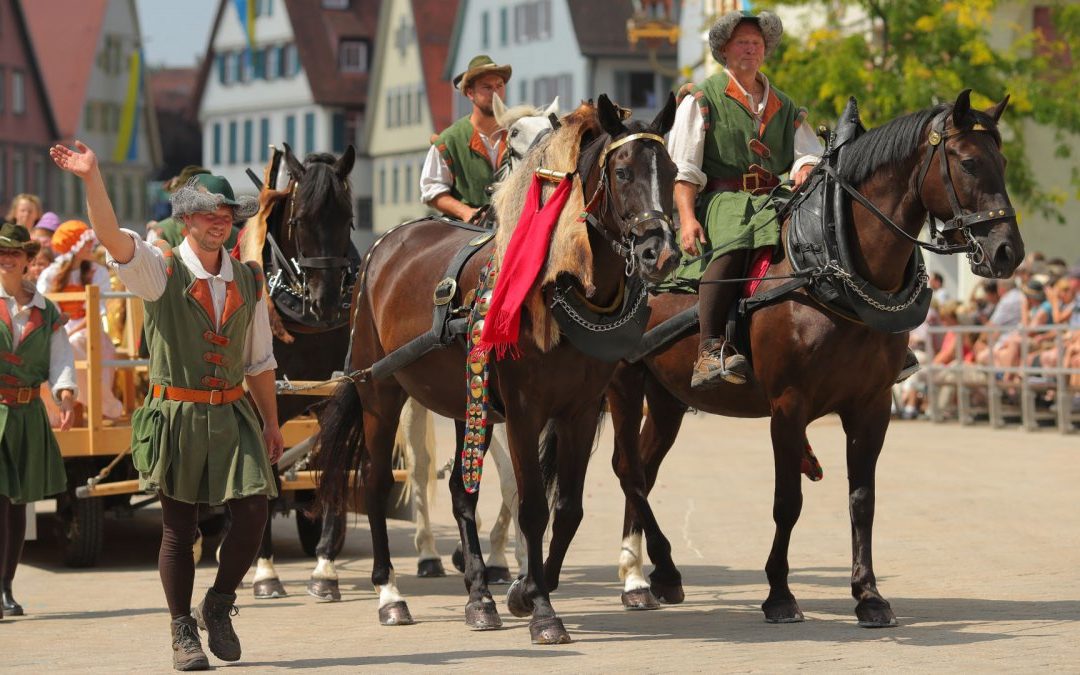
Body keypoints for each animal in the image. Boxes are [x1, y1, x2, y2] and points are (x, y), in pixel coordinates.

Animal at [315, 95, 678, 643]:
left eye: (673, 171)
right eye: (622, 171)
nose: (661, 252)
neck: (559, 285)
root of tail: (386, 244)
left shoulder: (581, 409)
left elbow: (568, 508)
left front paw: (524, 590)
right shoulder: (526, 413)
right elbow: (530, 505)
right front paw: (543, 608)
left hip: (467, 402)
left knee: (460, 493)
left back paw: (478, 596)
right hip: (381, 391)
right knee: (378, 483)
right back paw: (390, 593)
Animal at [609, 90, 1019, 626]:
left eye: (1004, 162)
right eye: (969, 162)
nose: (1008, 251)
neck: (830, 261)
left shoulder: (871, 406)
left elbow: (862, 499)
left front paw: (868, 594)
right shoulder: (788, 407)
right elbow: (788, 501)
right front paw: (780, 593)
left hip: (667, 397)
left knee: (644, 468)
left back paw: (645, 573)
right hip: (622, 381)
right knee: (628, 468)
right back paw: (647, 574)